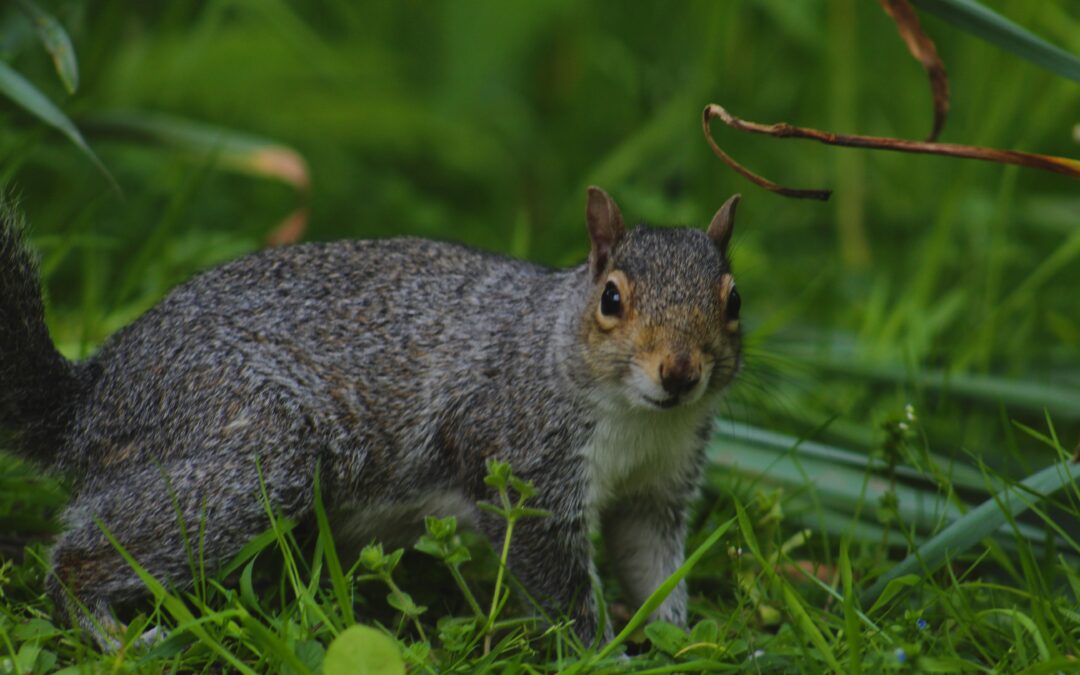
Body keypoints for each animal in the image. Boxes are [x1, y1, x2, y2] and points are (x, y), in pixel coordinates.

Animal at [0, 187, 743, 647]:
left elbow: (652, 565)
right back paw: (108, 629)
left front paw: (677, 635)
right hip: (243, 446)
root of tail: (93, 400)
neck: (638, 420)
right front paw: (595, 649)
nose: (680, 372)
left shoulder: (656, 491)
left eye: (733, 299)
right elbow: (555, 578)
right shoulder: (522, 460)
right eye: (611, 299)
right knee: (79, 554)